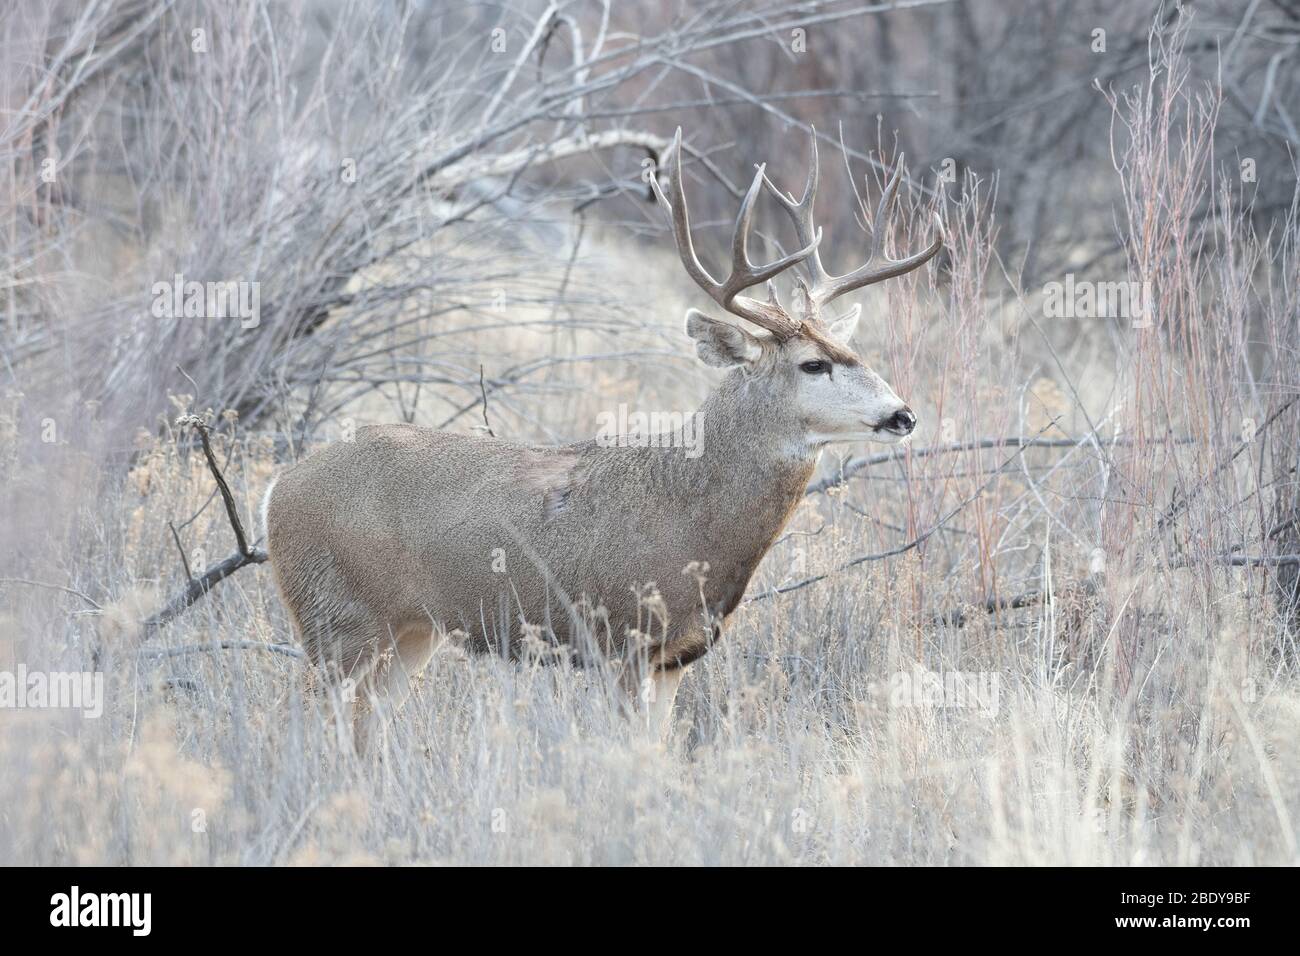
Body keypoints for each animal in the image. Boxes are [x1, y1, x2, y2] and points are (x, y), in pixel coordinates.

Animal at [258, 128, 941, 754]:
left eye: (854, 351)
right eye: (812, 364)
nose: (902, 415)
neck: (696, 517)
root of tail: (275, 490)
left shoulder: (674, 658)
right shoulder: (622, 639)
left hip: (409, 633)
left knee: (362, 732)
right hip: (336, 618)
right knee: (305, 723)